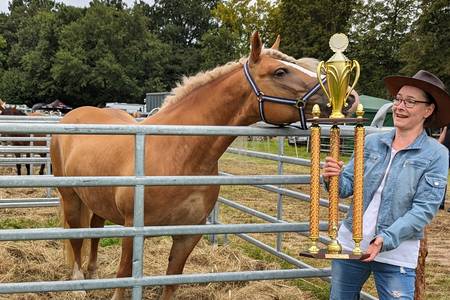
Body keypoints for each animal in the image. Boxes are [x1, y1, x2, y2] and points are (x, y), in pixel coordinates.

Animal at [50, 32, 358, 300]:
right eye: (280, 72)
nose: (350, 99)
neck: (177, 153)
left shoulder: (189, 233)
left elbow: (171, 281)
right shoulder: (133, 229)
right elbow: (125, 276)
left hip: (96, 199)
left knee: (94, 231)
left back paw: (91, 273)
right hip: (71, 197)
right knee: (76, 236)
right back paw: (78, 282)